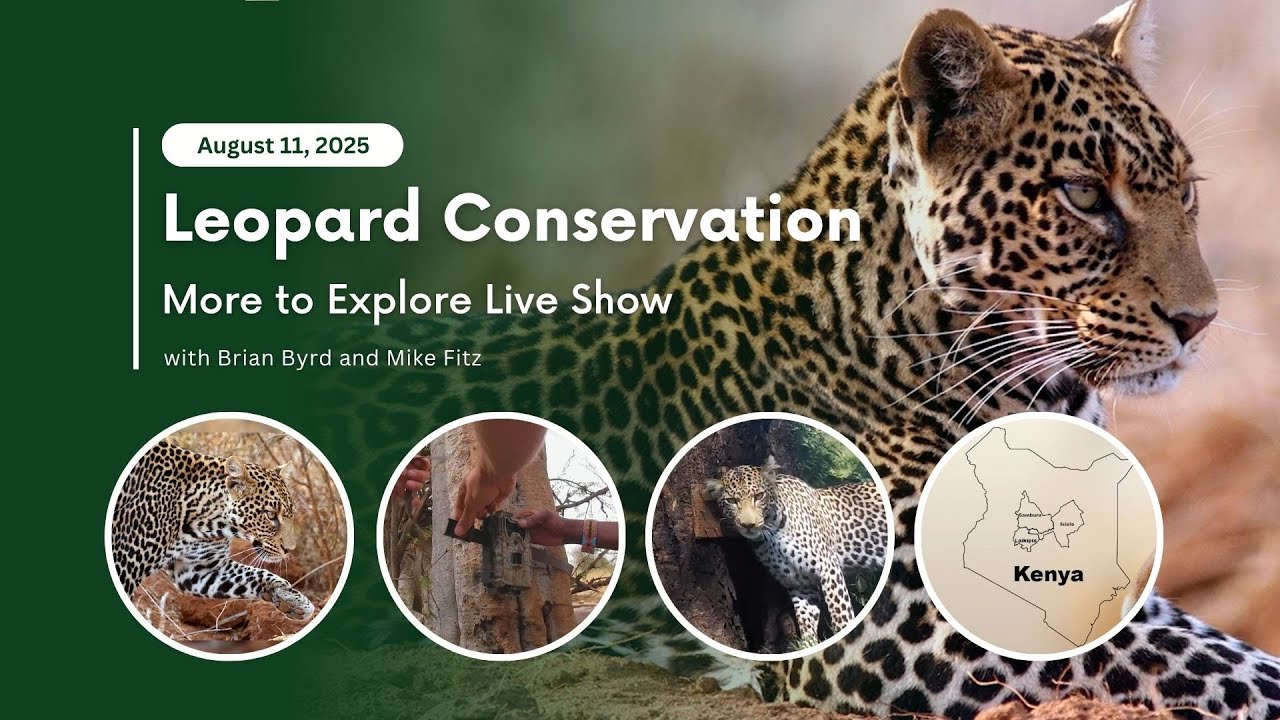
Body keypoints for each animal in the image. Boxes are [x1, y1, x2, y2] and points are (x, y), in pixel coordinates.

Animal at [110, 439, 315, 622]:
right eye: (271, 514)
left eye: (290, 515)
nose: (289, 550)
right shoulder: (124, 566)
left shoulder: (201, 569)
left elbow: (254, 573)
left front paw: (293, 599)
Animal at [705, 455, 889, 646]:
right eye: (732, 501)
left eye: (759, 496)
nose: (749, 525)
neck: (771, 536)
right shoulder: (800, 584)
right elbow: (806, 622)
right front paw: (809, 646)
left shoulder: (829, 569)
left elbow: (841, 615)